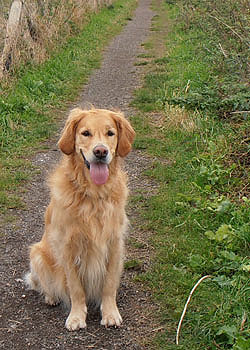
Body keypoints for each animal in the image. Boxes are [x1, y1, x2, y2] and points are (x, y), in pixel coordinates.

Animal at [25, 108, 135, 330]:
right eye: (86, 133)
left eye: (110, 133)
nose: (100, 152)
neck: (93, 194)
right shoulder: (67, 245)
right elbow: (75, 288)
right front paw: (76, 317)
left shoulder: (114, 243)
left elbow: (109, 284)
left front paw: (110, 313)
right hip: (37, 254)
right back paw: (51, 297)